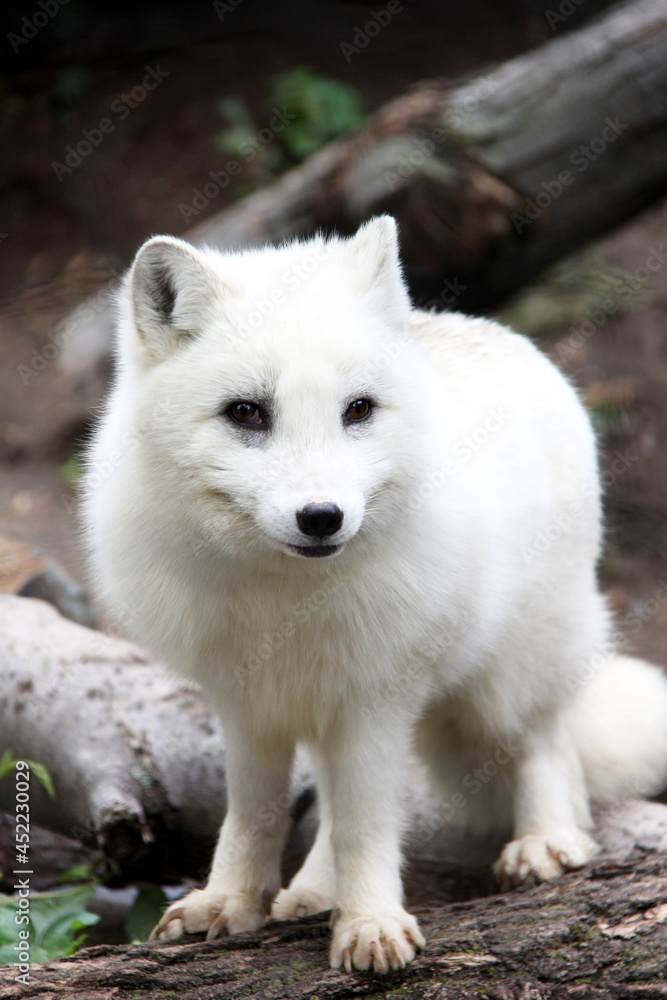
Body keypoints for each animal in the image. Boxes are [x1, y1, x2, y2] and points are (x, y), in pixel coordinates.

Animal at [82, 216, 667, 973]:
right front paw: (231, 901)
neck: (284, 599)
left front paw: (369, 924)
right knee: (335, 801)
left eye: (357, 410)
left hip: (511, 669)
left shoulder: (374, 696)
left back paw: (544, 841)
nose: (321, 517)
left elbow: (366, 823)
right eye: (246, 413)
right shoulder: (247, 702)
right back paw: (312, 891)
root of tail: (485, 329)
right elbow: (256, 813)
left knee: (544, 739)